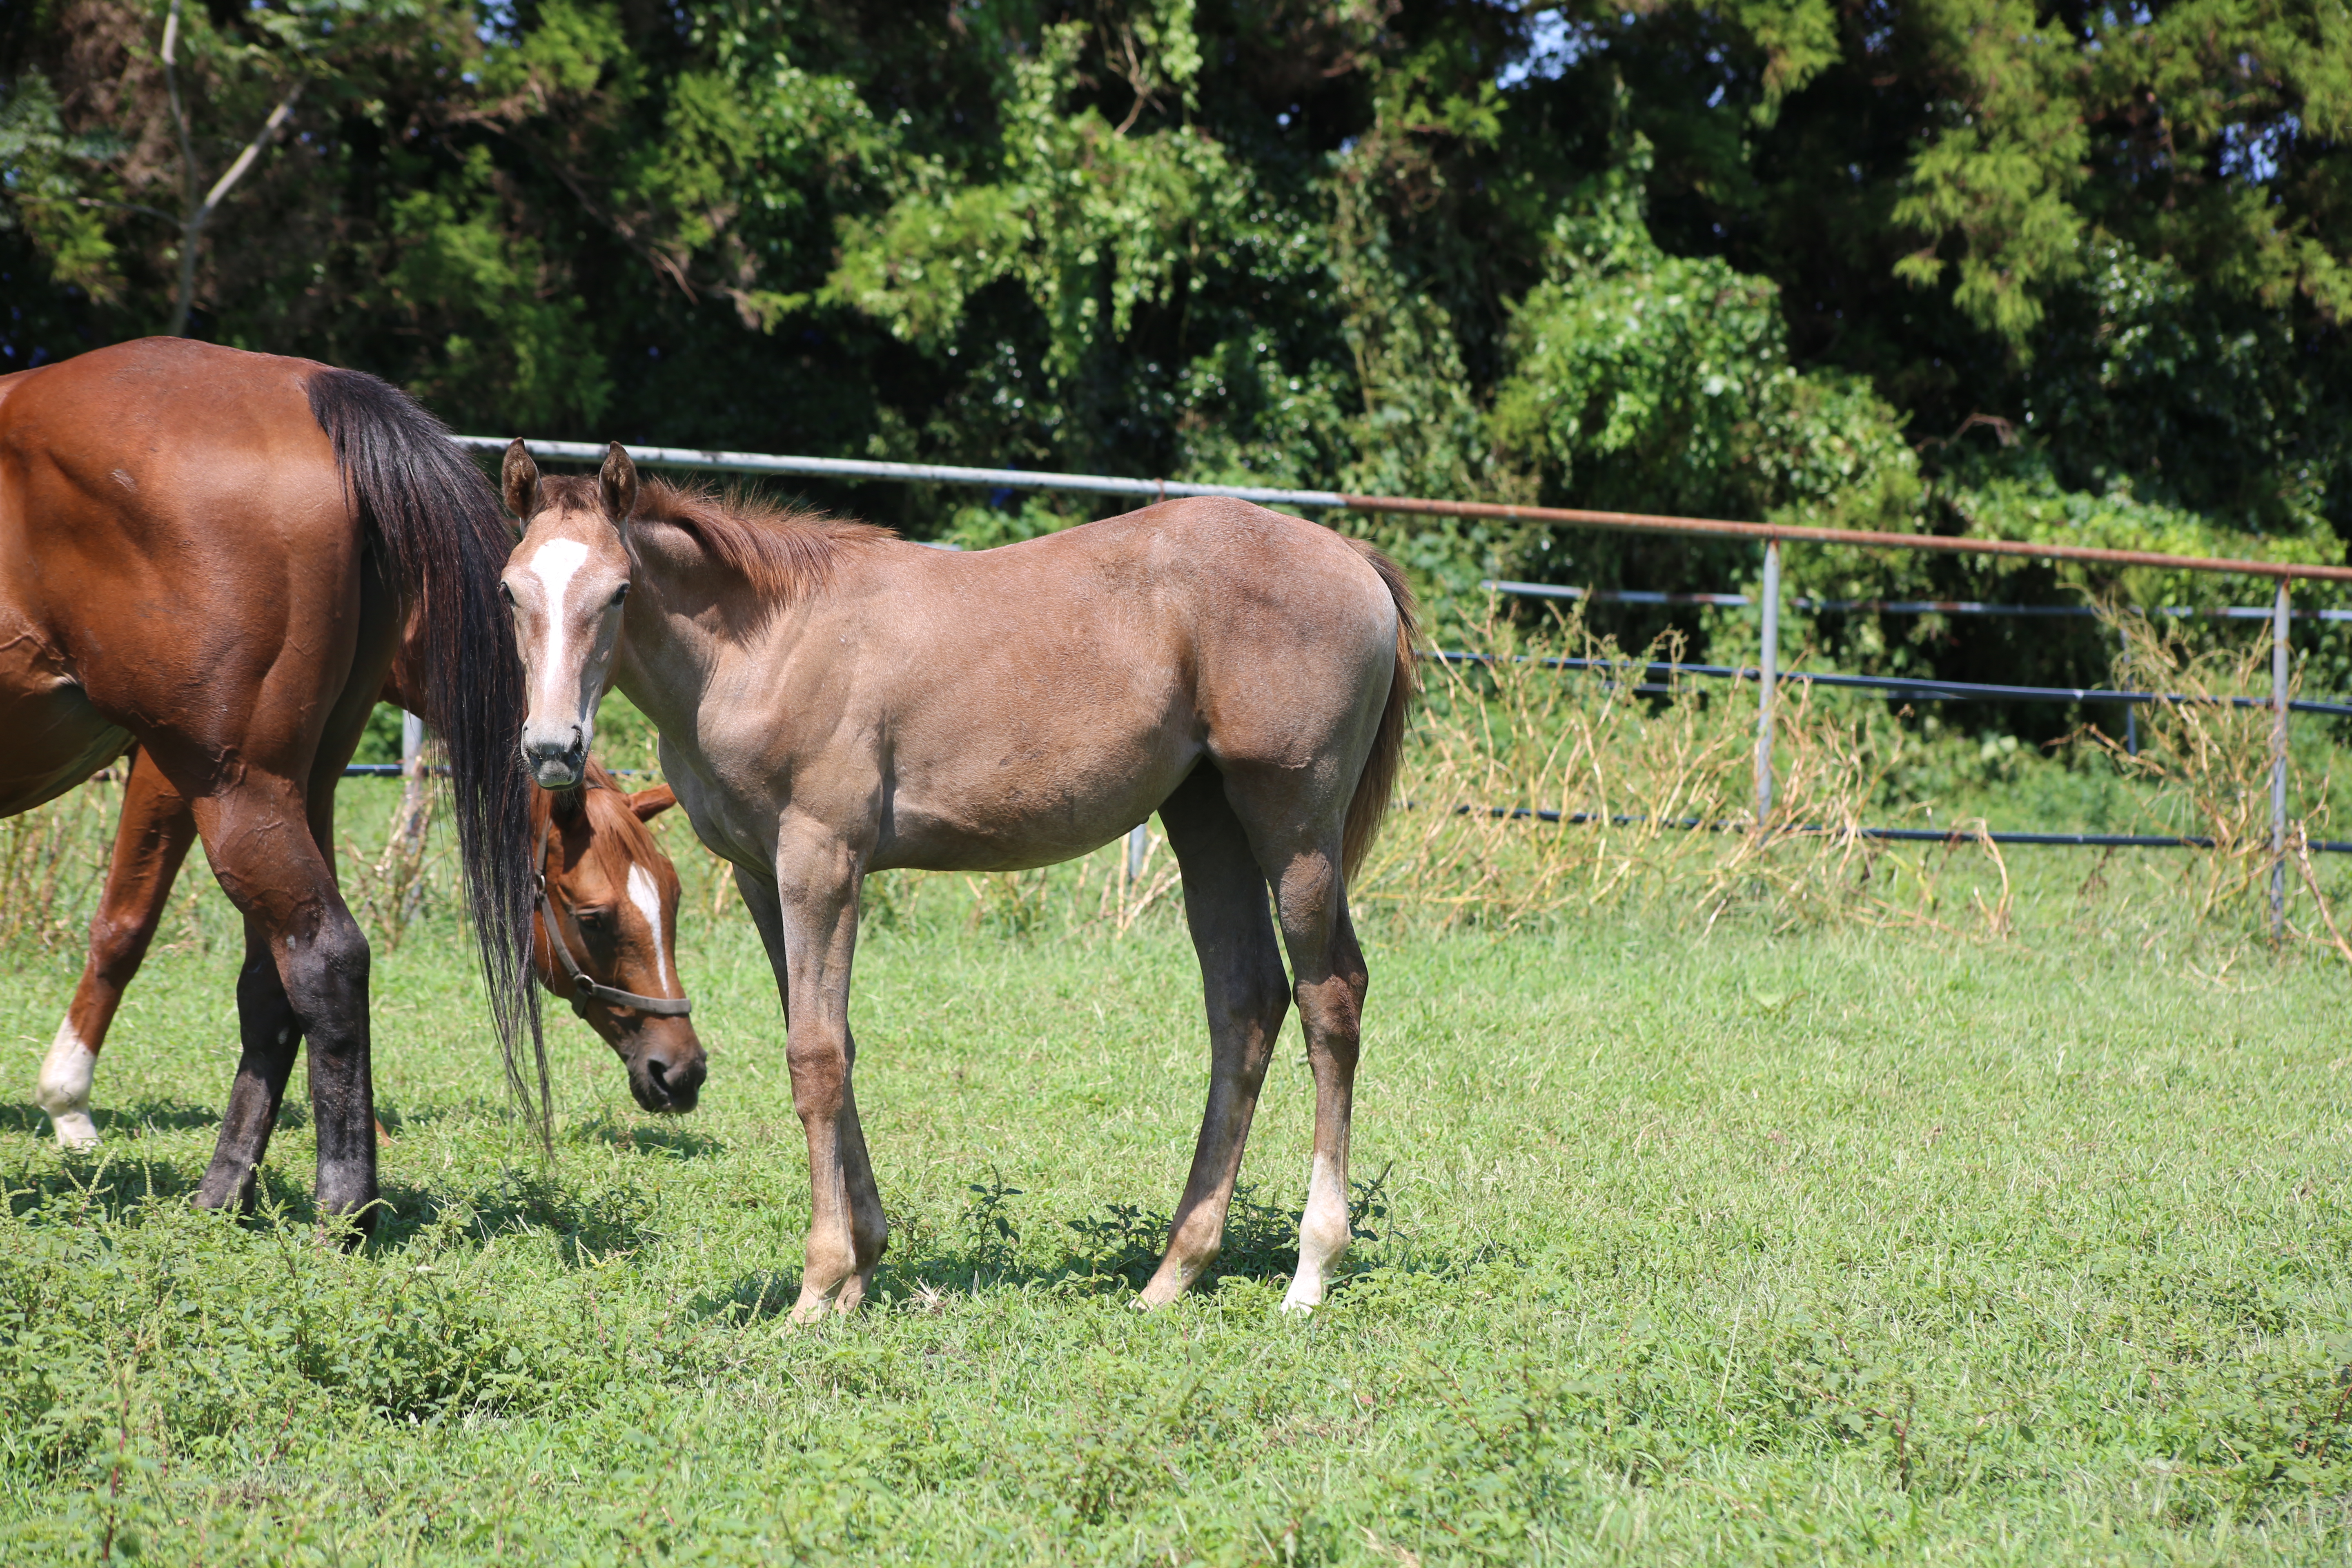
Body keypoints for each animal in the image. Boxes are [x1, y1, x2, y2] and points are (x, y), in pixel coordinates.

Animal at [0, 341, 536, 1222]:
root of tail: (309, 389)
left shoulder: (166, 770)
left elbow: (121, 925)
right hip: (291, 792)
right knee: (272, 983)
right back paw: (225, 1192)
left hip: (236, 790)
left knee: (324, 959)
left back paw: (340, 1209)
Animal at [496, 444, 1411, 1326]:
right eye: (511, 591)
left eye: (618, 591)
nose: (552, 748)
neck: (761, 648)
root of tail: (1353, 559)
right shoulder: (762, 874)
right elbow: (830, 1042)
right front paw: (862, 1268)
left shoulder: (821, 861)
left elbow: (816, 1057)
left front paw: (818, 1287)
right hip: (1208, 822)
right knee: (1246, 1004)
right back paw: (1173, 1274)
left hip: (1295, 828)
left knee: (1330, 1001)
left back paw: (1310, 1273)